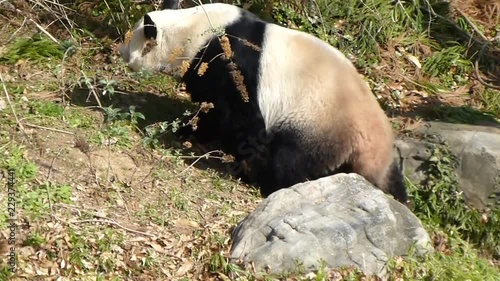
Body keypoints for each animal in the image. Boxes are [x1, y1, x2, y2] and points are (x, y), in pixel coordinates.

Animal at [118, 1, 410, 202]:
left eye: (129, 41)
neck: (191, 29)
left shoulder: (228, 60)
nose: (120, 51)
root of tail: (373, 144)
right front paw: (187, 129)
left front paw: (234, 159)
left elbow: (234, 116)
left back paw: (269, 182)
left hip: (315, 121)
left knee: (291, 159)